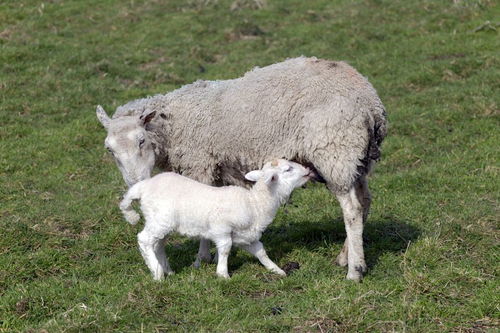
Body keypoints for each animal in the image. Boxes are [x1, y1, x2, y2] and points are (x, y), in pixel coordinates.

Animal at [119, 160, 312, 278]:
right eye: (288, 169)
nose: (308, 170)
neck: (255, 204)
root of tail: (143, 187)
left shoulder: (245, 236)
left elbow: (261, 251)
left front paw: (276, 270)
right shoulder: (221, 229)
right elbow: (225, 249)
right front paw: (223, 274)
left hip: (162, 223)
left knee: (158, 245)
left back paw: (167, 270)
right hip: (159, 219)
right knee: (144, 240)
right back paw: (157, 272)